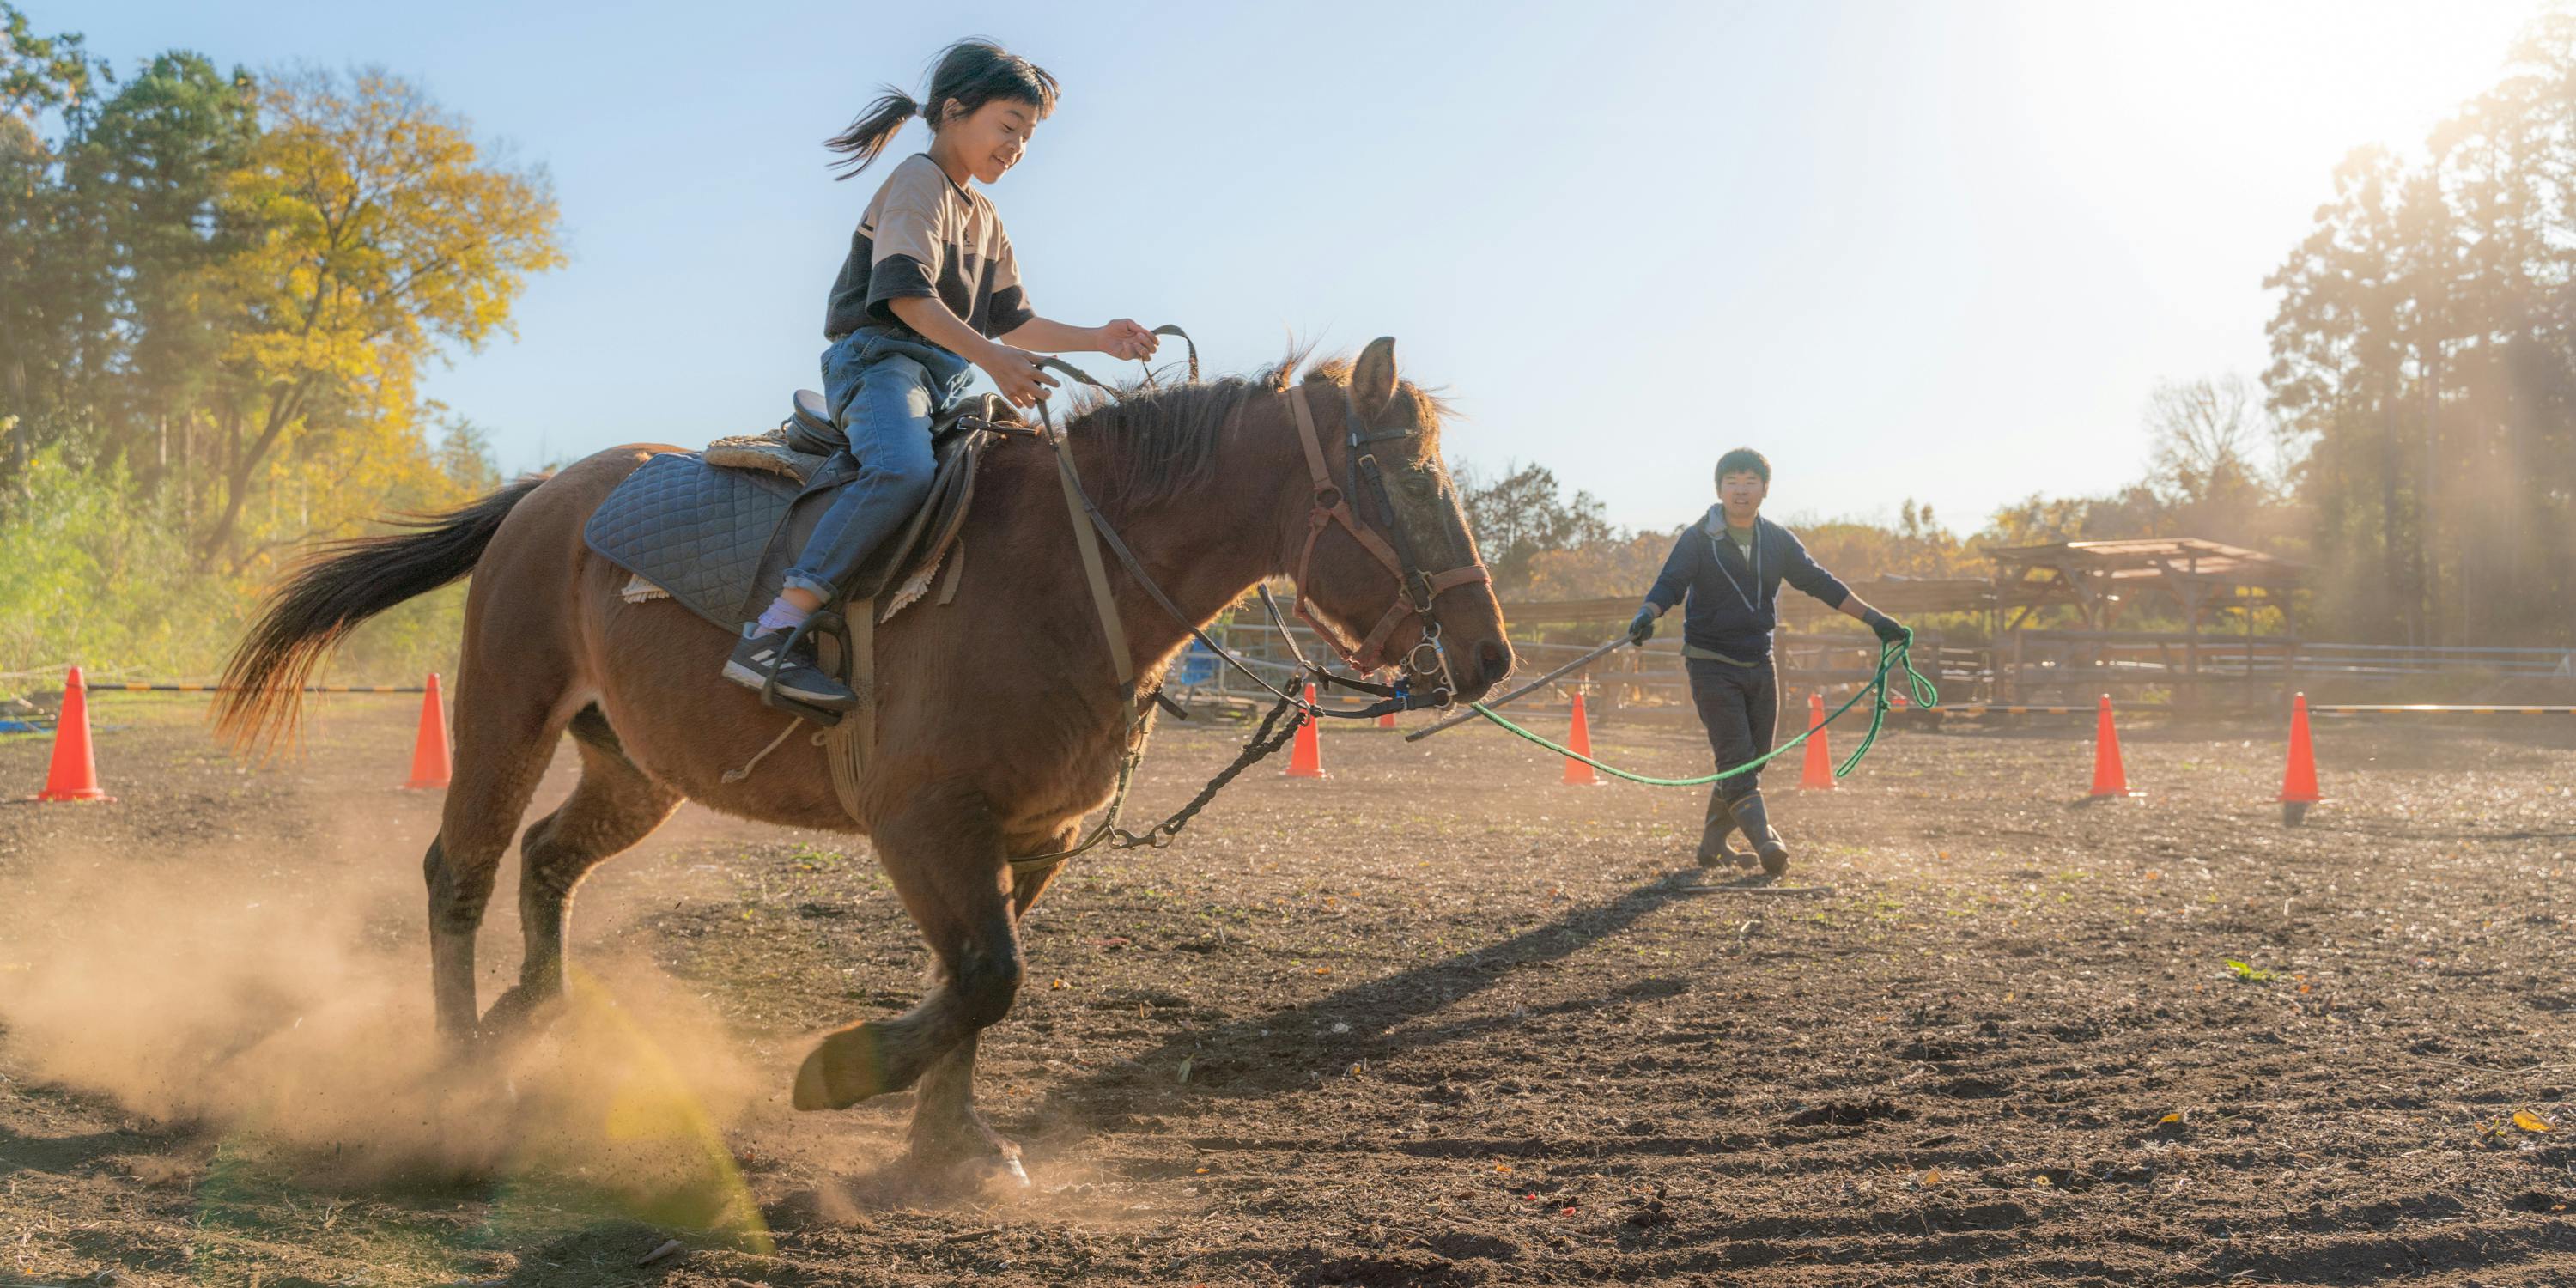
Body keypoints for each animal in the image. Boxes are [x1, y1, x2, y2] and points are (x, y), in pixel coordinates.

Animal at [222, 335, 1515, 1180]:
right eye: (1406, 476)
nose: (1491, 655)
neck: (1067, 572)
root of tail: (548, 495)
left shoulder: (1031, 838)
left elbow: (983, 982)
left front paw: (953, 1149)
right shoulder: (923, 821)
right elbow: (986, 979)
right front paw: (842, 1075)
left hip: (637, 769)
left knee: (546, 862)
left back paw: (528, 1018)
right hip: (505, 713)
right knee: (464, 872)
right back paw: (454, 1071)